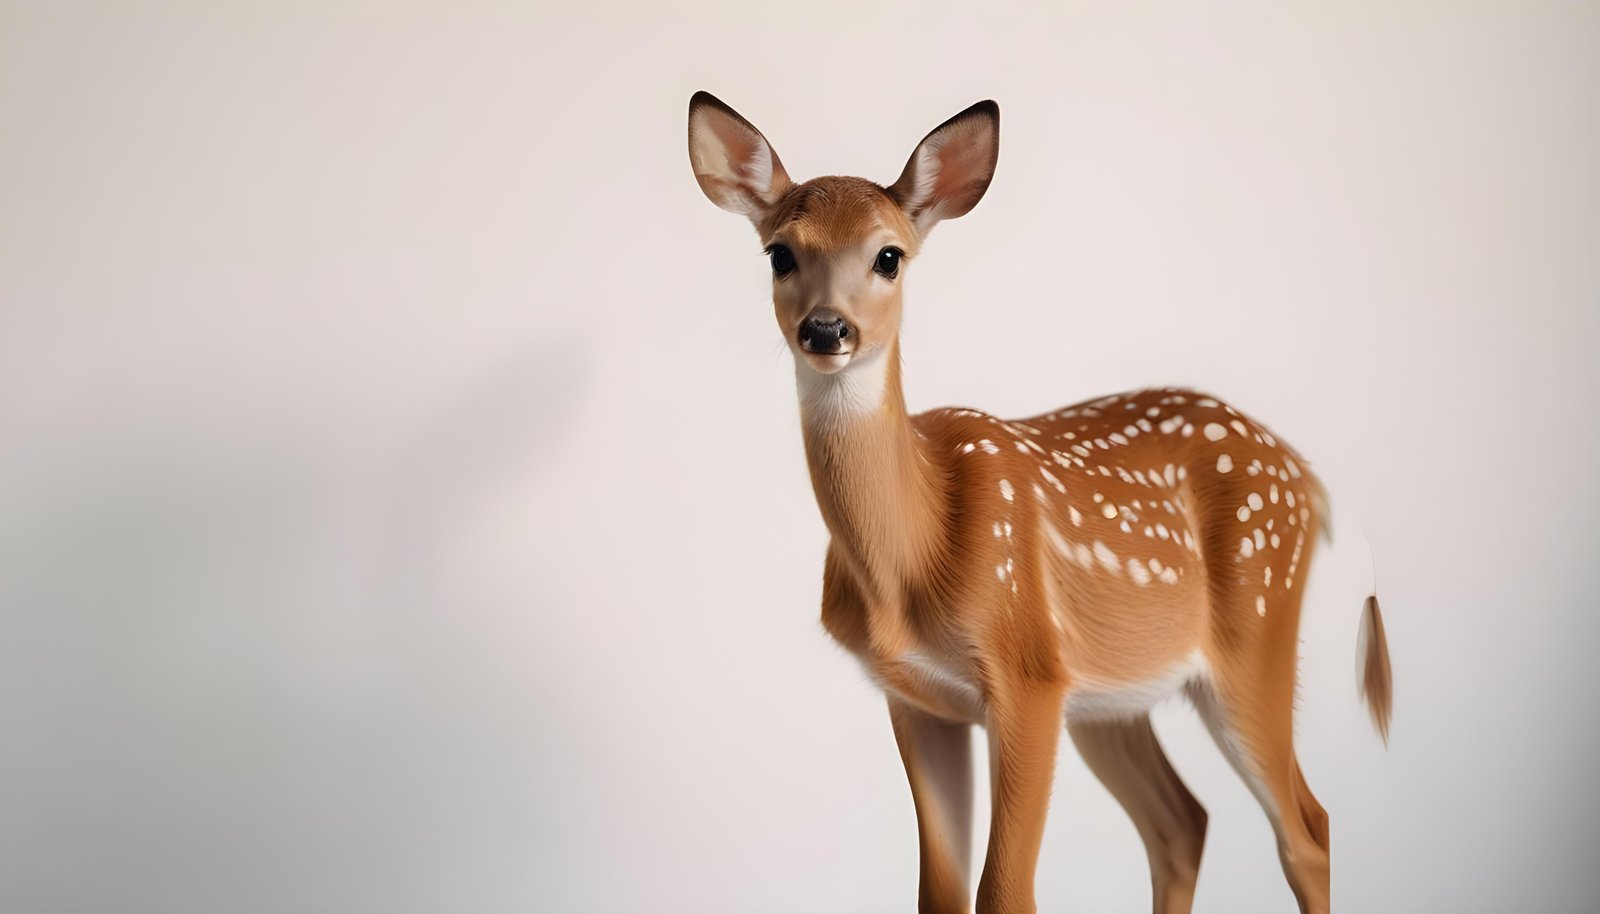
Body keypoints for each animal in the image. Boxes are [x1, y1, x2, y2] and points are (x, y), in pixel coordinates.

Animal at [685, 91, 1392, 914]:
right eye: (780, 253)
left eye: (889, 256)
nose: (827, 329)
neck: (912, 557)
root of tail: (1308, 478)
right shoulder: (919, 700)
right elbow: (940, 892)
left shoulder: (1028, 672)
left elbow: (1005, 891)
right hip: (1113, 696)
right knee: (1182, 822)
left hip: (1254, 629)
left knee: (1306, 828)